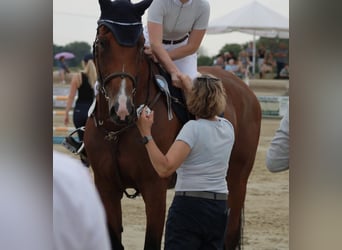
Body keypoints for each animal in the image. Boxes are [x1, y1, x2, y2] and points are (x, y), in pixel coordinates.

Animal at [84, 0, 260, 248]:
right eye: (102, 42)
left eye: (141, 46)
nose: (122, 109)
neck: (117, 130)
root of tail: (245, 89)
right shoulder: (105, 187)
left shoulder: (155, 189)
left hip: (236, 180)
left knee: (229, 233)